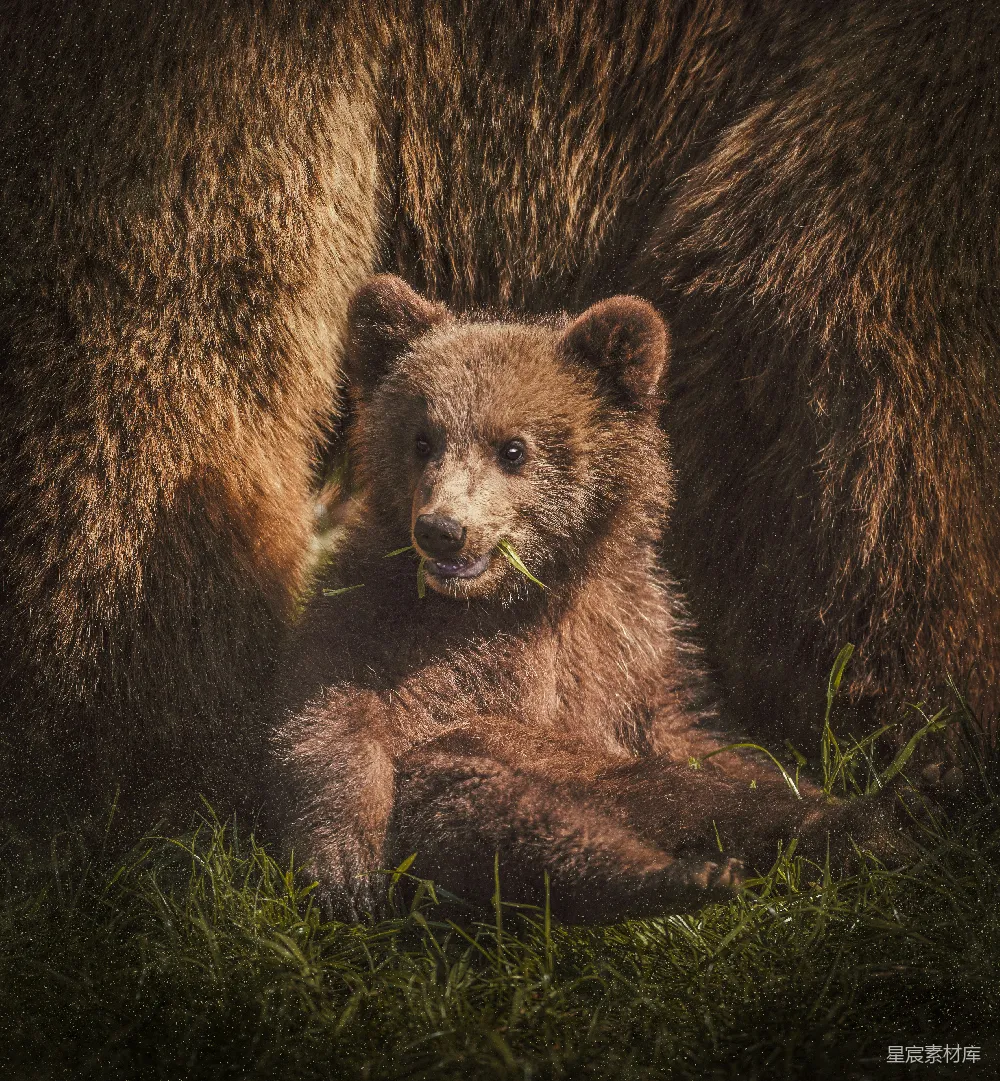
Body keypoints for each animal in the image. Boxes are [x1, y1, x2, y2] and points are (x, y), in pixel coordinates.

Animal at [273, 275, 901, 921]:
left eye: (513, 448)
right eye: (422, 440)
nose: (442, 529)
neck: (515, 599)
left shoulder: (629, 640)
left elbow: (701, 735)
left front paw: (826, 796)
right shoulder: (375, 615)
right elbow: (330, 716)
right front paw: (346, 866)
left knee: (711, 796)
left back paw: (863, 822)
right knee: (498, 805)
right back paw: (676, 874)